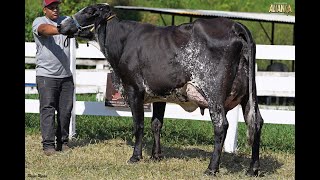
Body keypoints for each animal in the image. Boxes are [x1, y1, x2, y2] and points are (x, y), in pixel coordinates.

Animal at [58, 3, 264, 176]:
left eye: (89, 11)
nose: (61, 25)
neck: (122, 42)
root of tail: (235, 25)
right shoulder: (159, 95)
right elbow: (156, 124)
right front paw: (155, 155)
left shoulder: (133, 89)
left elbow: (138, 124)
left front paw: (136, 156)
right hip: (248, 96)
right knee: (256, 122)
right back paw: (253, 169)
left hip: (214, 93)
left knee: (221, 125)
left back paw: (211, 168)